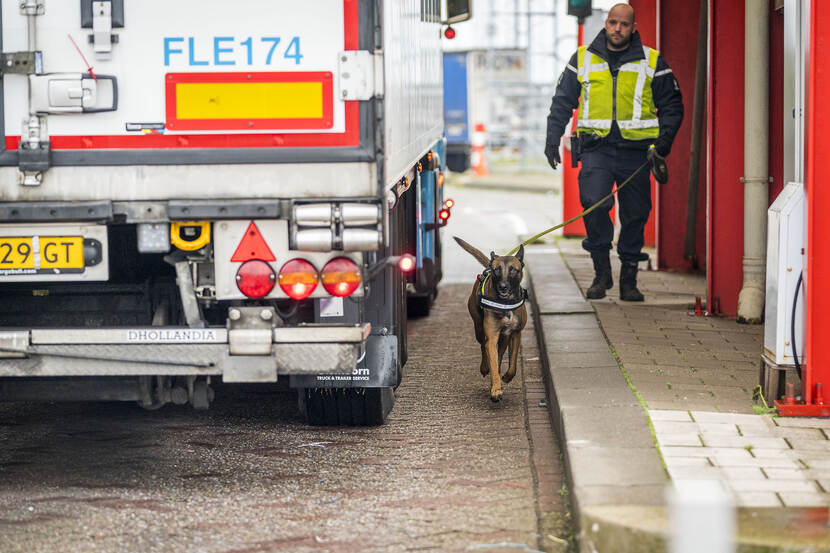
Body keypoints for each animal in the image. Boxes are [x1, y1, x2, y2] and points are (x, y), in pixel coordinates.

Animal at [456, 236, 528, 402]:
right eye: (497, 270)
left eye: (513, 270)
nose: (503, 286)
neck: (506, 304)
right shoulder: (492, 336)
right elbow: (493, 364)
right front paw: (496, 389)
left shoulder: (515, 334)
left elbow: (513, 363)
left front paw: (506, 378)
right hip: (478, 328)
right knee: (483, 346)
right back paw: (485, 368)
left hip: (504, 338)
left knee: (500, 354)